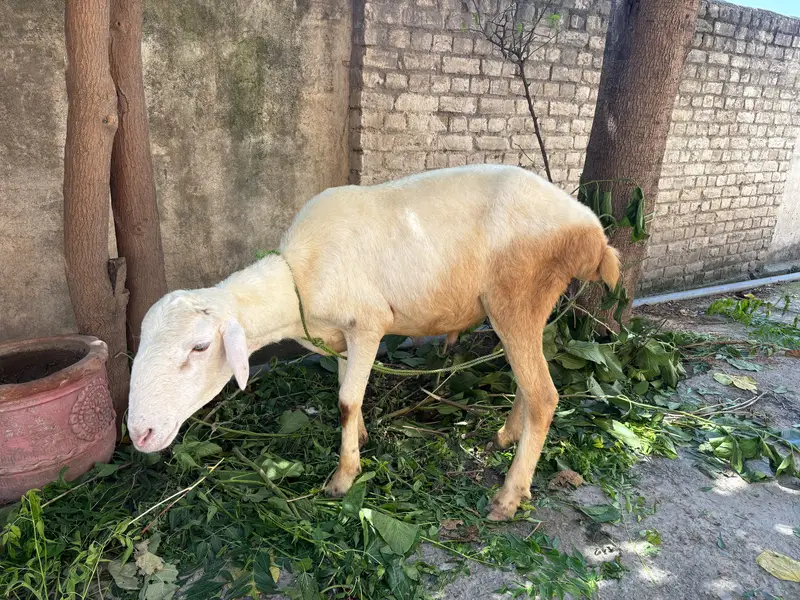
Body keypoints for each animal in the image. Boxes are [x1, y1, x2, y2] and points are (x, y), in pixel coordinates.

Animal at [127, 164, 620, 521]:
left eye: (199, 348)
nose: (140, 434)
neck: (298, 279)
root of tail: (595, 236)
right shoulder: (343, 336)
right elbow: (349, 391)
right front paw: (360, 437)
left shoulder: (368, 323)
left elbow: (346, 399)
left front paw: (344, 477)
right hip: (525, 308)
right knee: (528, 382)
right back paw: (506, 435)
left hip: (518, 295)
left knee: (544, 395)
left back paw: (509, 495)